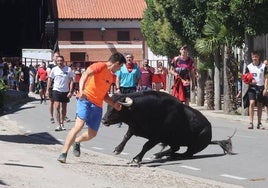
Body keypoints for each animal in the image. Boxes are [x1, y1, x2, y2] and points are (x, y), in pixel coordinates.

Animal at [101, 91, 233, 166]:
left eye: (117, 108)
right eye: (108, 106)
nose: (104, 120)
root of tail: (209, 130)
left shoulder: (157, 137)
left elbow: (146, 146)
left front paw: (136, 159)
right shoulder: (134, 128)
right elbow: (126, 137)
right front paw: (117, 149)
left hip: (195, 146)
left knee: (186, 153)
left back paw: (172, 156)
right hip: (174, 141)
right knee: (175, 148)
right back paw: (160, 155)